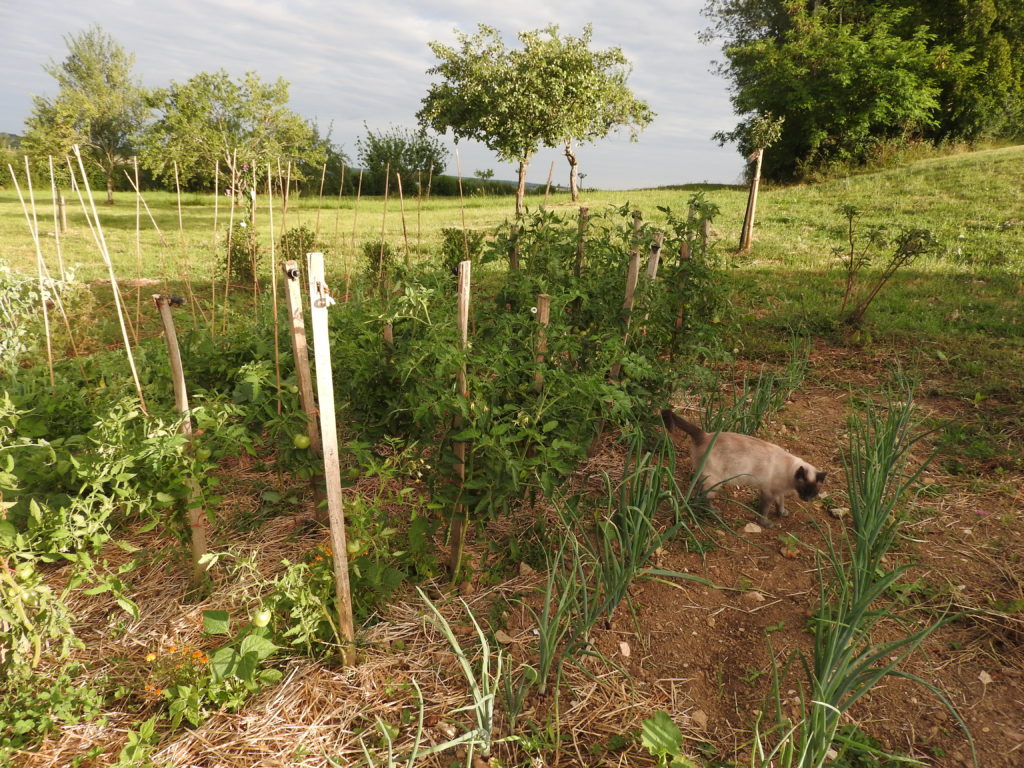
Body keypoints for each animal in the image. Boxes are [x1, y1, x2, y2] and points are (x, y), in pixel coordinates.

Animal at [663, 409, 823, 528]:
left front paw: (782, 513)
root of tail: (705, 435)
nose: (807, 499)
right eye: (805, 490)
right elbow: (764, 511)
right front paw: (765, 524)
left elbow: (780, 504)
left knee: (698, 491)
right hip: (715, 481)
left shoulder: (778, 492)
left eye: (814, 492)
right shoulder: (768, 493)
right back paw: (712, 512)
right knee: (704, 496)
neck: (789, 473)